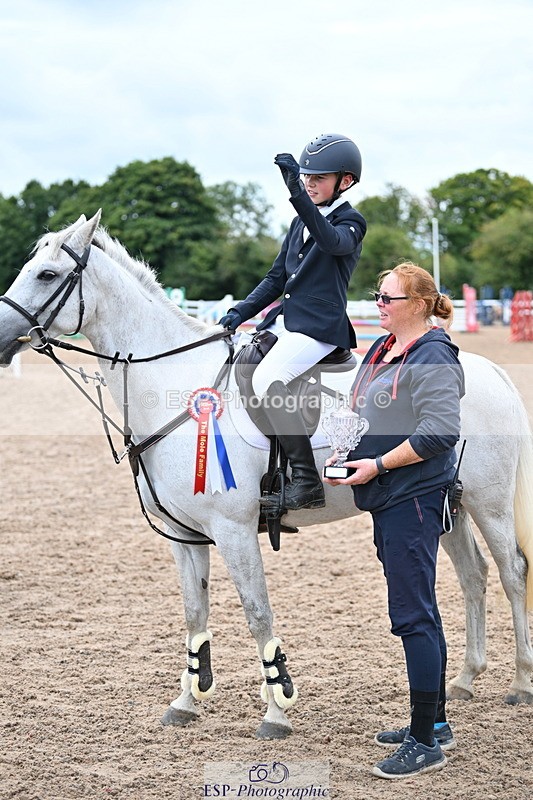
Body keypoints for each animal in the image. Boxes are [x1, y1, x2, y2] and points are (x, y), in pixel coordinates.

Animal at [0, 210, 532, 741]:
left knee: (511, 572)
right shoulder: (183, 535)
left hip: (488, 502)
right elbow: (194, 612)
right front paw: (186, 702)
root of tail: (492, 372)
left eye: (46, 274)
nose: (1, 339)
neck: (176, 383)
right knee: (473, 575)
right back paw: (464, 679)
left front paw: (276, 709)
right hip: (448, 504)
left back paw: (521, 684)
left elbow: (257, 614)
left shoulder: (234, 530)